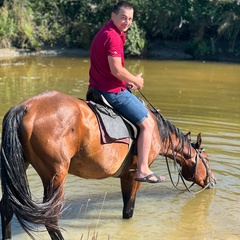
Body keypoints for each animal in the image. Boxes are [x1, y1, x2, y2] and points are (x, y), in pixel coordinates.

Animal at [0, 90, 217, 240]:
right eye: (206, 158)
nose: (213, 181)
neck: (157, 131)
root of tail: (25, 108)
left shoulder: (124, 176)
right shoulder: (134, 176)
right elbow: (128, 211)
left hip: (22, 167)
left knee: (8, 206)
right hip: (55, 175)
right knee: (50, 217)